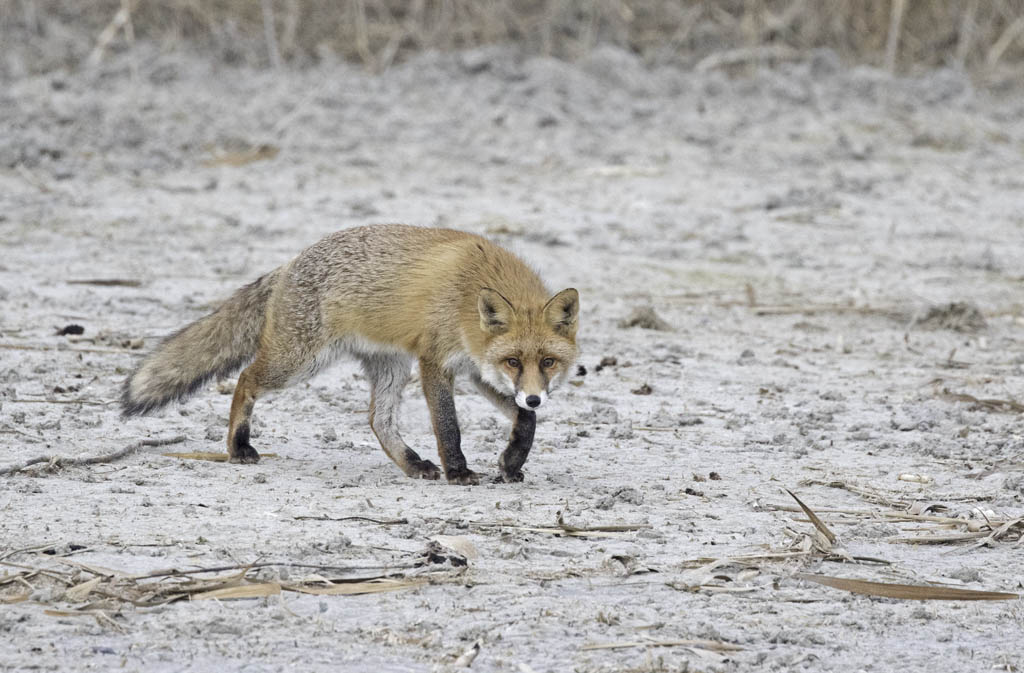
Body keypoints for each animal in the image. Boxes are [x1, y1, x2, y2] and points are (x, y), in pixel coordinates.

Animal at [119, 224, 577, 483]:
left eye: (548, 362)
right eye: (513, 360)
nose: (535, 395)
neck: (468, 295)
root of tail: (290, 262)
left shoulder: (477, 369)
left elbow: (525, 421)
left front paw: (511, 461)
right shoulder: (436, 361)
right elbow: (449, 426)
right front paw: (459, 471)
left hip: (390, 366)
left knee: (378, 421)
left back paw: (413, 465)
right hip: (299, 362)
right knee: (246, 378)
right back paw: (238, 446)